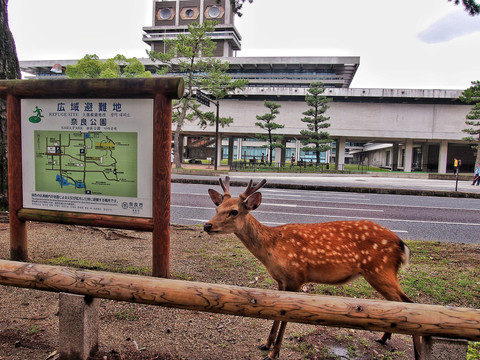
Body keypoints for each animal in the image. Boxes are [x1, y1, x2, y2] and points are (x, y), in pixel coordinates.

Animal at [204, 176, 422, 358]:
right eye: (217, 208)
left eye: (234, 211)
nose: (207, 225)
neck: (272, 248)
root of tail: (401, 244)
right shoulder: (282, 281)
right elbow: (276, 313)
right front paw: (266, 344)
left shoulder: (296, 278)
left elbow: (286, 316)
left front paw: (274, 353)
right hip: (380, 273)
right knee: (400, 304)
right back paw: (384, 338)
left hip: (380, 270)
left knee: (410, 303)